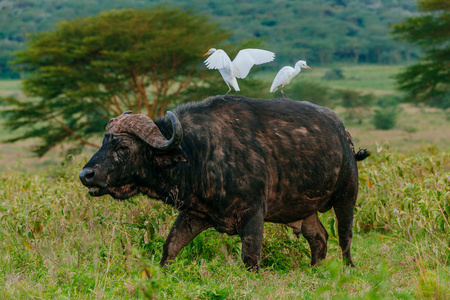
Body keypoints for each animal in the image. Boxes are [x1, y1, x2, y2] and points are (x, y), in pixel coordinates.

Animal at [80, 95, 370, 270]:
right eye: (104, 142)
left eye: (123, 147)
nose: (86, 175)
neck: (198, 153)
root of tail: (343, 134)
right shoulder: (194, 214)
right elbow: (170, 246)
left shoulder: (253, 214)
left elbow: (251, 257)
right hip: (304, 211)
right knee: (319, 238)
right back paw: (315, 269)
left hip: (346, 196)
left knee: (344, 237)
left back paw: (347, 268)